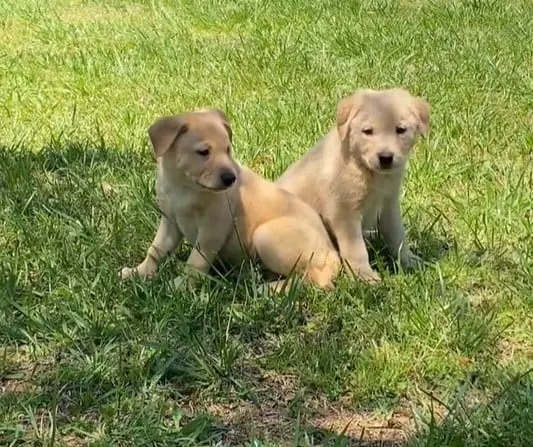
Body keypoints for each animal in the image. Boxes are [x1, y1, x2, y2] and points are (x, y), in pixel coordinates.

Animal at [120, 107, 338, 290]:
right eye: (203, 152)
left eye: (227, 149)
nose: (230, 178)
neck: (185, 187)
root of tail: (332, 252)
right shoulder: (170, 222)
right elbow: (155, 250)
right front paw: (138, 272)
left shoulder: (212, 229)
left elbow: (196, 261)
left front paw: (181, 285)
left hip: (265, 236)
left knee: (317, 279)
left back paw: (268, 289)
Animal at [276, 88, 430, 284]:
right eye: (367, 131)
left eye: (401, 130)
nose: (386, 158)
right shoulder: (344, 213)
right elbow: (357, 249)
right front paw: (364, 276)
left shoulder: (389, 205)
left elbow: (398, 236)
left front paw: (410, 261)